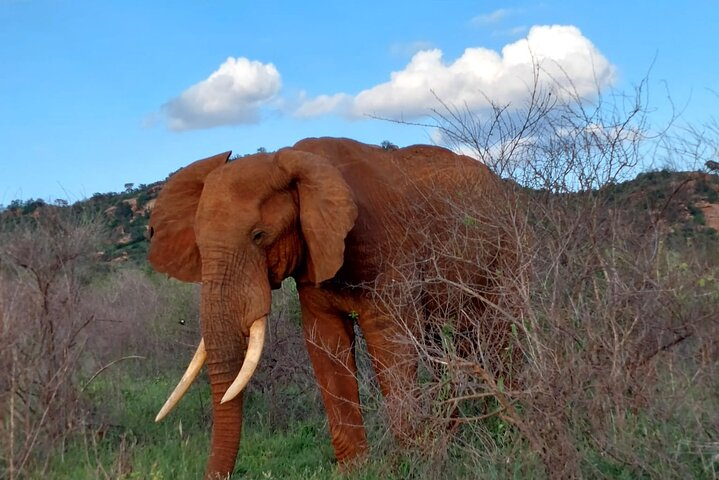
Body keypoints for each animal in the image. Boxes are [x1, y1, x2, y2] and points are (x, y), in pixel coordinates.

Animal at [148, 137, 512, 478]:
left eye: (259, 235)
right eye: (198, 244)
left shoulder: (389, 255)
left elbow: (390, 344)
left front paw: (406, 465)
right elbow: (325, 343)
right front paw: (356, 470)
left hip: (507, 247)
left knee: (498, 335)